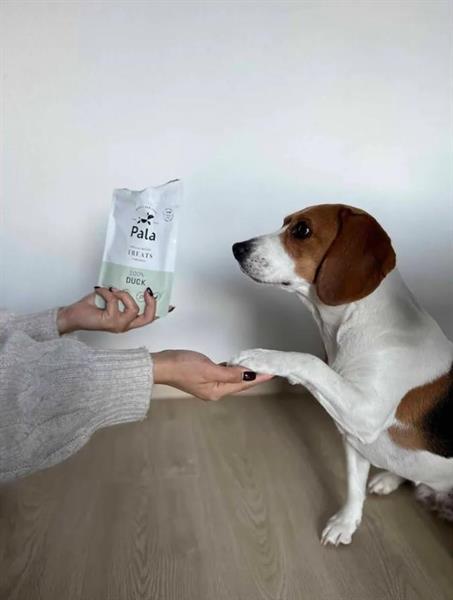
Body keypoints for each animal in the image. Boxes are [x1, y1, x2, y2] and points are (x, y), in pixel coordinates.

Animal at [230, 204, 453, 546]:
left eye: (302, 230)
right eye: (285, 222)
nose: (237, 248)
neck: (357, 320)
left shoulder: (364, 412)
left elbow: (310, 362)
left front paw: (265, 357)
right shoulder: (353, 436)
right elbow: (353, 485)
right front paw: (346, 523)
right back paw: (389, 478)